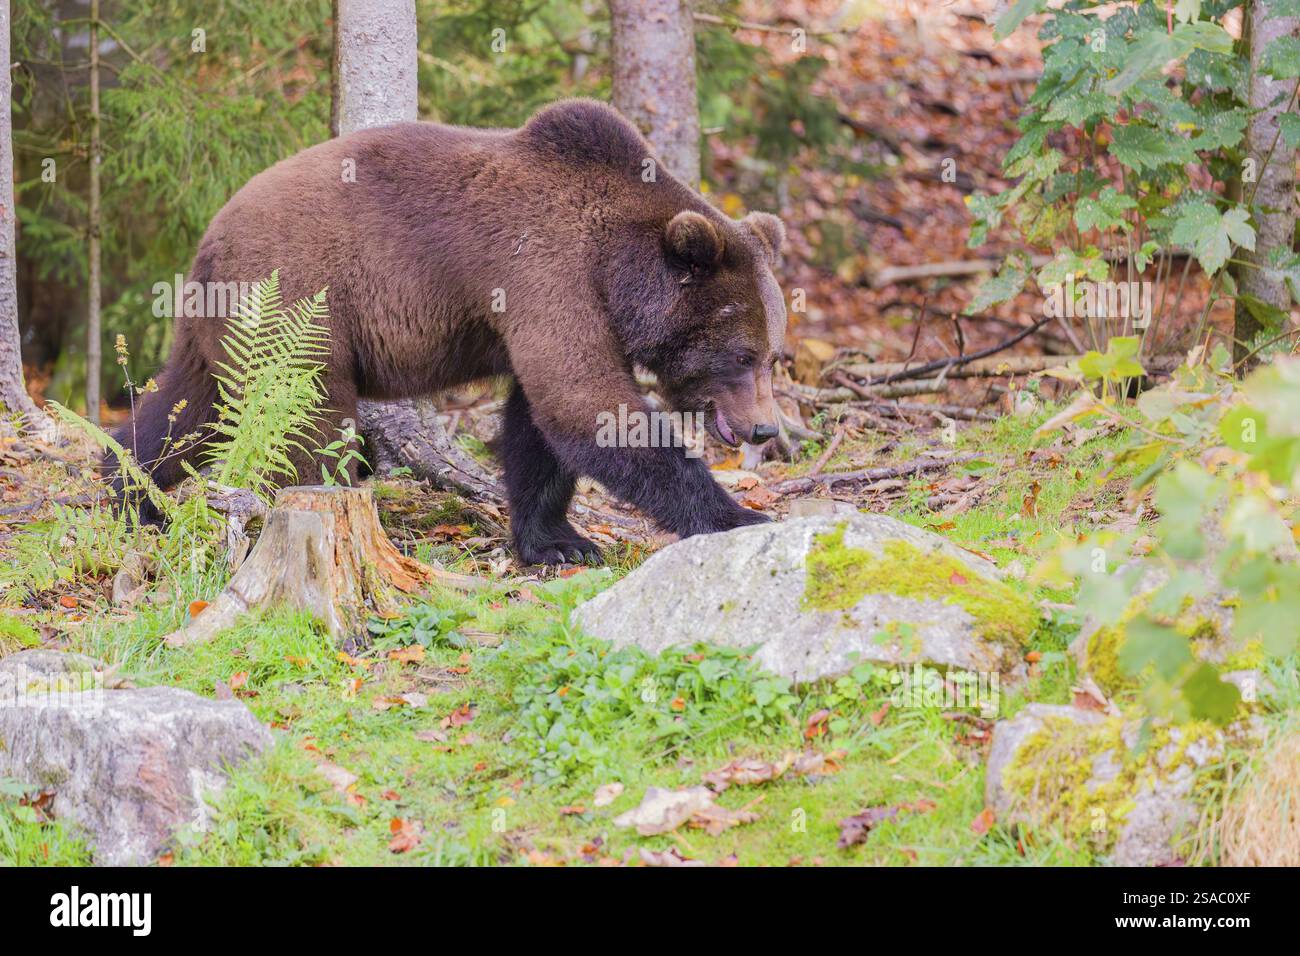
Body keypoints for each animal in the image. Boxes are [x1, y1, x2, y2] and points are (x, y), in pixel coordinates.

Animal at [107, 99, 788, 565]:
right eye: (741, 355)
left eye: (773, 356)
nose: (764, 428)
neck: (617, 270)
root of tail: (209, 241)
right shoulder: (545, 272)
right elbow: (585, 405)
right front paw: (739, 516)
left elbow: (537, 426)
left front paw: (556, 540)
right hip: (299, 301)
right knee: (307, 419)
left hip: (223, 330)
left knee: (184, 408)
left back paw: (129, 493)